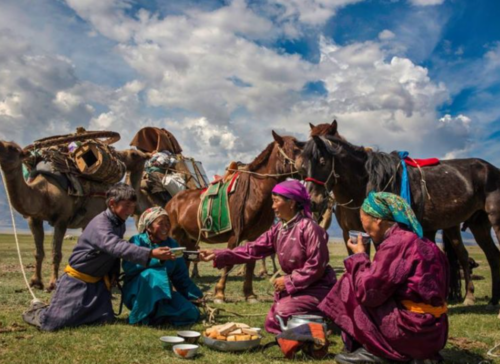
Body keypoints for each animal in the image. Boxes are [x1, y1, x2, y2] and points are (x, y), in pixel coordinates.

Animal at [0, 141, 148, 292]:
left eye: (12, 148)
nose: (121, 156)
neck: (44, 192)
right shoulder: (34, 219)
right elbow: (38, 252)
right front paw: (35, 282)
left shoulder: (62, 219)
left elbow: (56, 253)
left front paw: (53, 283)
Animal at [166, 132, 302, 302]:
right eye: (295, 150)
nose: (306, 166)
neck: (255, 192)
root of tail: (171, 202)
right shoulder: (235, 235)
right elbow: (228, 262)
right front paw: (219, 293)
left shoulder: (254, 236)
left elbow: (250, 263)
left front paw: (249, 294)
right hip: (174, 235)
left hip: (188, 239)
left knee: (185, 260)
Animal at [298, 130, 500, 304]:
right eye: (303, 168)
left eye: (322, 162)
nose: (313, 202)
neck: (364, 186)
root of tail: (492, 168)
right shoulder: (351, 233)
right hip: (475, 225)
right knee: (489, 255)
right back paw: (491, 300)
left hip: (493, 219)